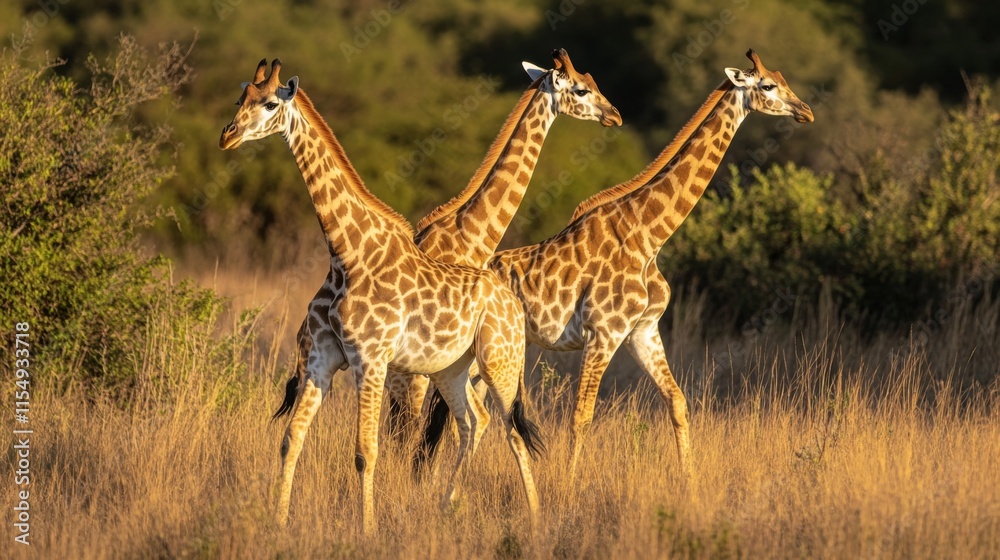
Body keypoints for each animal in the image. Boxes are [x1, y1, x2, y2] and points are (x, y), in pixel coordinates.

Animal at [219, 59, 545, 535]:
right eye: (239, 99)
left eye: (268, 104)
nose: (227, 136)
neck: (347, 254)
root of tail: (511, 303)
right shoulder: (320, 360)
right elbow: (290, 439)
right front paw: (278, 523)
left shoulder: (370, 359)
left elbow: (364, 451)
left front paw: (367, 529)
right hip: (450, 369)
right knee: (473, 423)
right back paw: (446, 508)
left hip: (499, 362)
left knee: (514, 431)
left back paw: (536, 518)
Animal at [420, 49, 814, 477]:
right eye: (768, 85)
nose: (805, 111)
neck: (649, 234)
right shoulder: (603, 333)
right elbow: (582, 416)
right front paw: (568, 487)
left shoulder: (643, 330)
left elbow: (678, 402)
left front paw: (690, 485)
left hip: (480, 356)